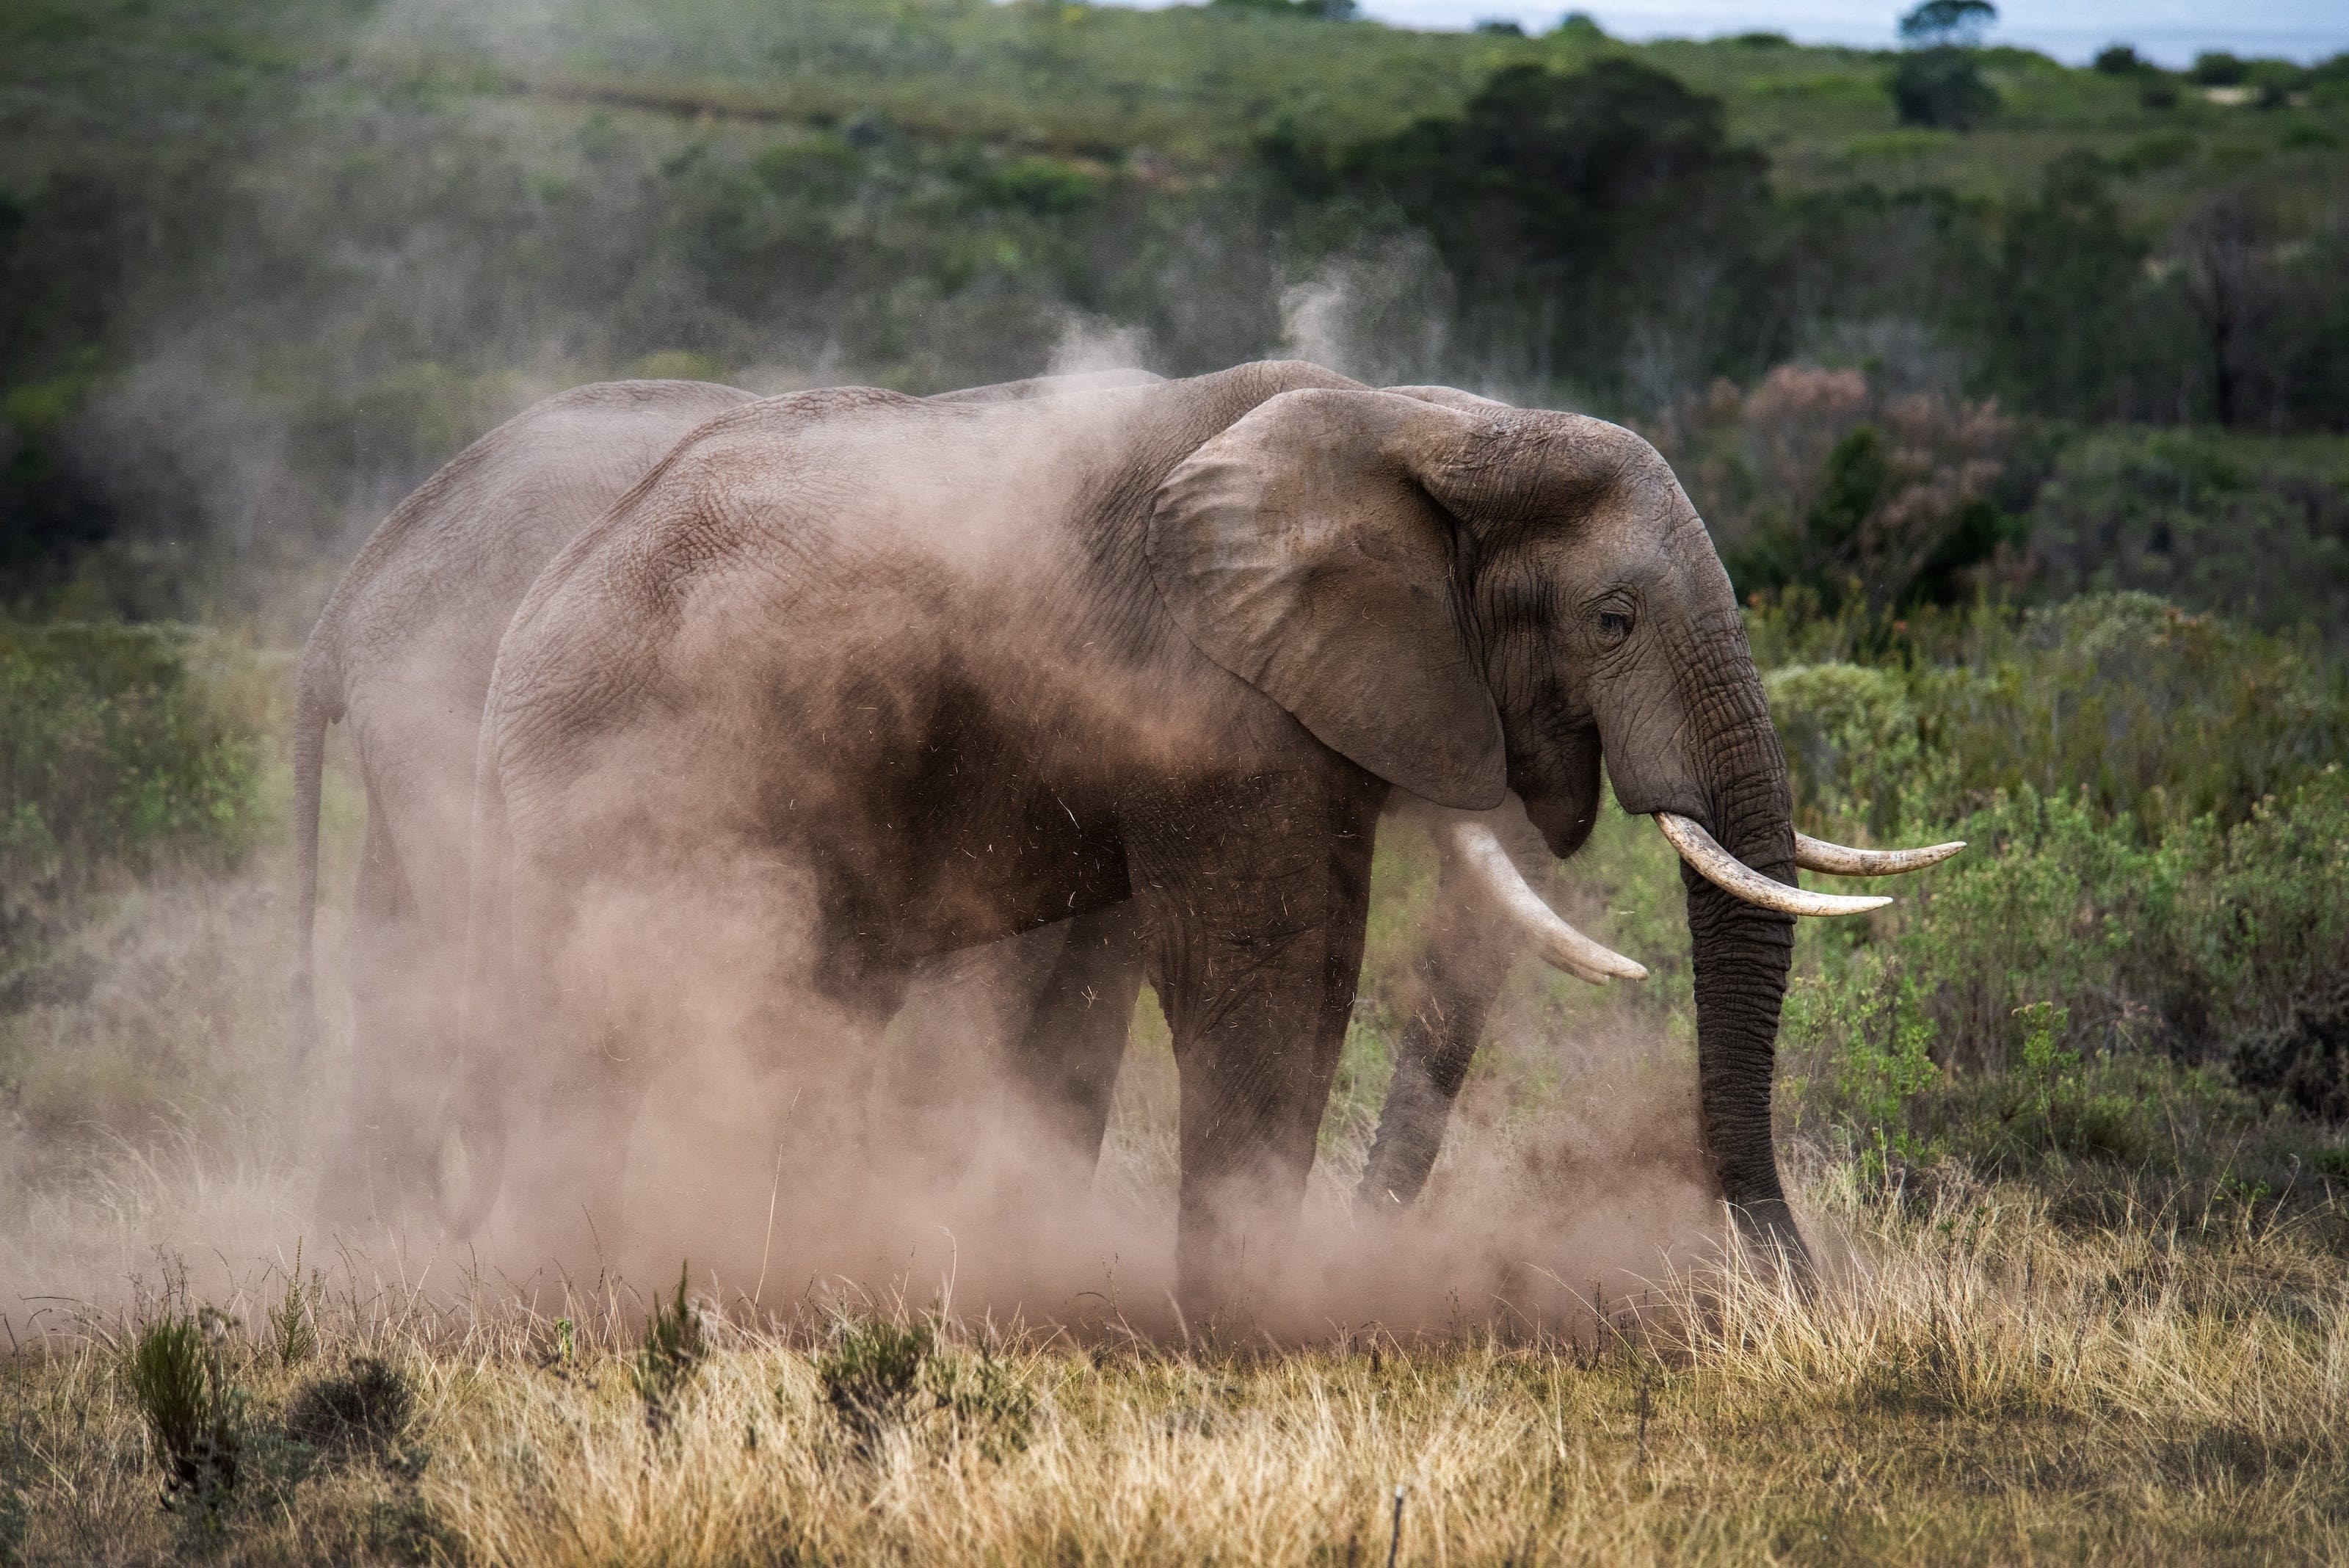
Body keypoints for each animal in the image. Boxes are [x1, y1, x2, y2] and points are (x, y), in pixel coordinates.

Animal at [452, 358, 1958, 1305]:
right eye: (1612, 620)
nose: (1797, 1289)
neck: (1429, 421)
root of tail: (540, 605)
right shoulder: (1211, 694)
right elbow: (1271, 967)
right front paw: (1255, 1320)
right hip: (624, 768)